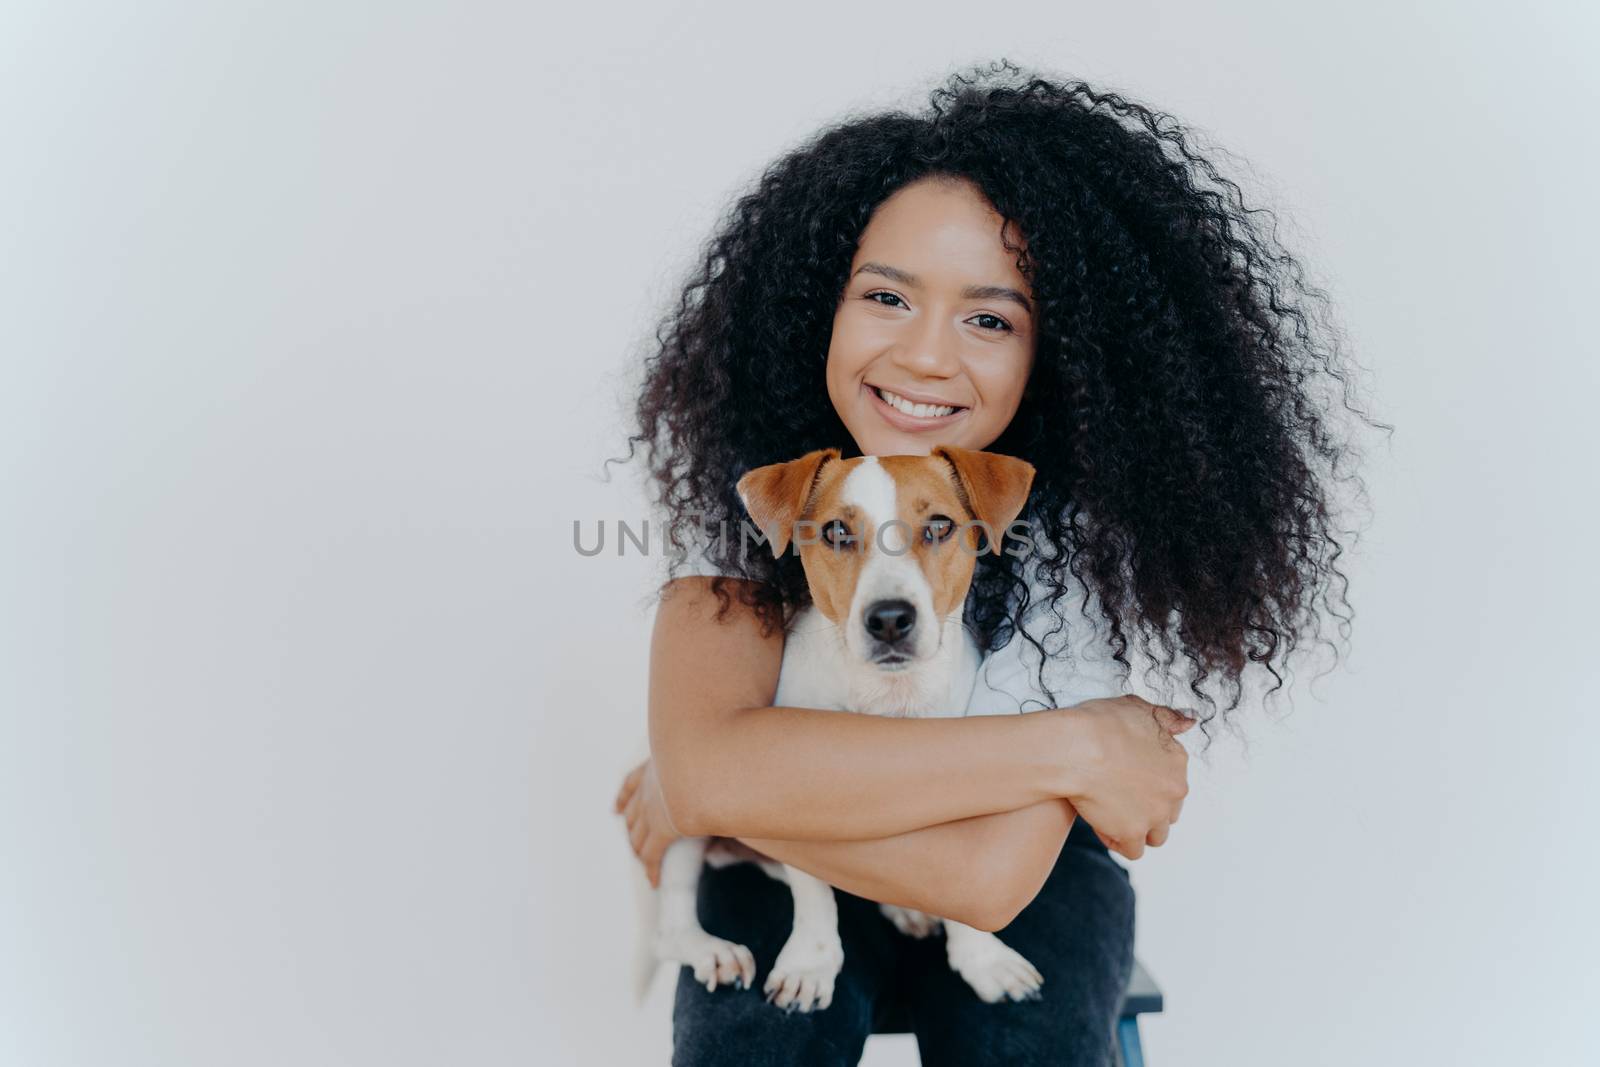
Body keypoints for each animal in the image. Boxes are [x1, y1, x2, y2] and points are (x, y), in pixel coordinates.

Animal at [636, 447, 1049, 1017]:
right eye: (836, 532)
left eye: (939, 526)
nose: (890, 618)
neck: (890, 698)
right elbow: (813, 892)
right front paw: (810, 965)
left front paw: (984, 959)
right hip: (681, 815)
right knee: (673, 916)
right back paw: (708, 950)